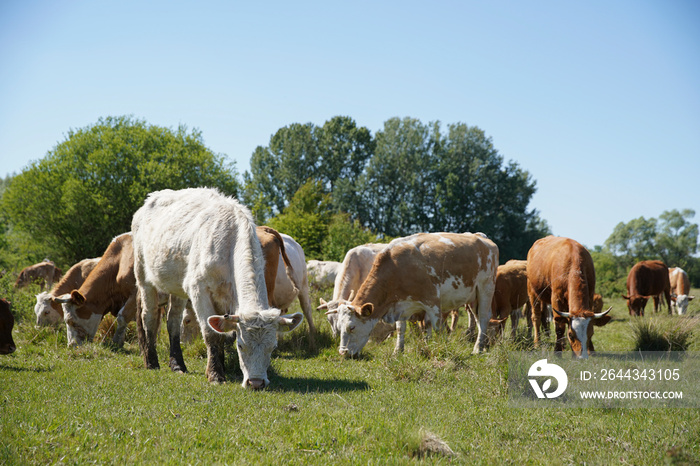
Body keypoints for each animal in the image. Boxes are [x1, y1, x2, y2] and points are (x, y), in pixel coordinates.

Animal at [133, 187, 302, 388]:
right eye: (240, 345)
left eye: (272, 347)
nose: (256, 382)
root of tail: (151, 198)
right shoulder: (199, 290)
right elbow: (212, 333)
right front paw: (215, 374)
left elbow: (222, 330)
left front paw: (220, 367)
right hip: (143, 275)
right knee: (149, 316)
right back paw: (151, 361)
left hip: (178, 286)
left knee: (173, 320)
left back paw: (177, 364)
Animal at [326, 231, 498, 354]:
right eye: (337, 326)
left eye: (352, 327)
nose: (343, 353)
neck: (396, 268)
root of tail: (480, 237)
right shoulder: (399, 305)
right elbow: (400, 328)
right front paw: (398, 351)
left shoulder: (432, 301)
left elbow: (437, 327)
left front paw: (443, 348)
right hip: (473, 297)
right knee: (477, 319)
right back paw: (480, 344)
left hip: (486, 288)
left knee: (484, 317)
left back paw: (477, 349)